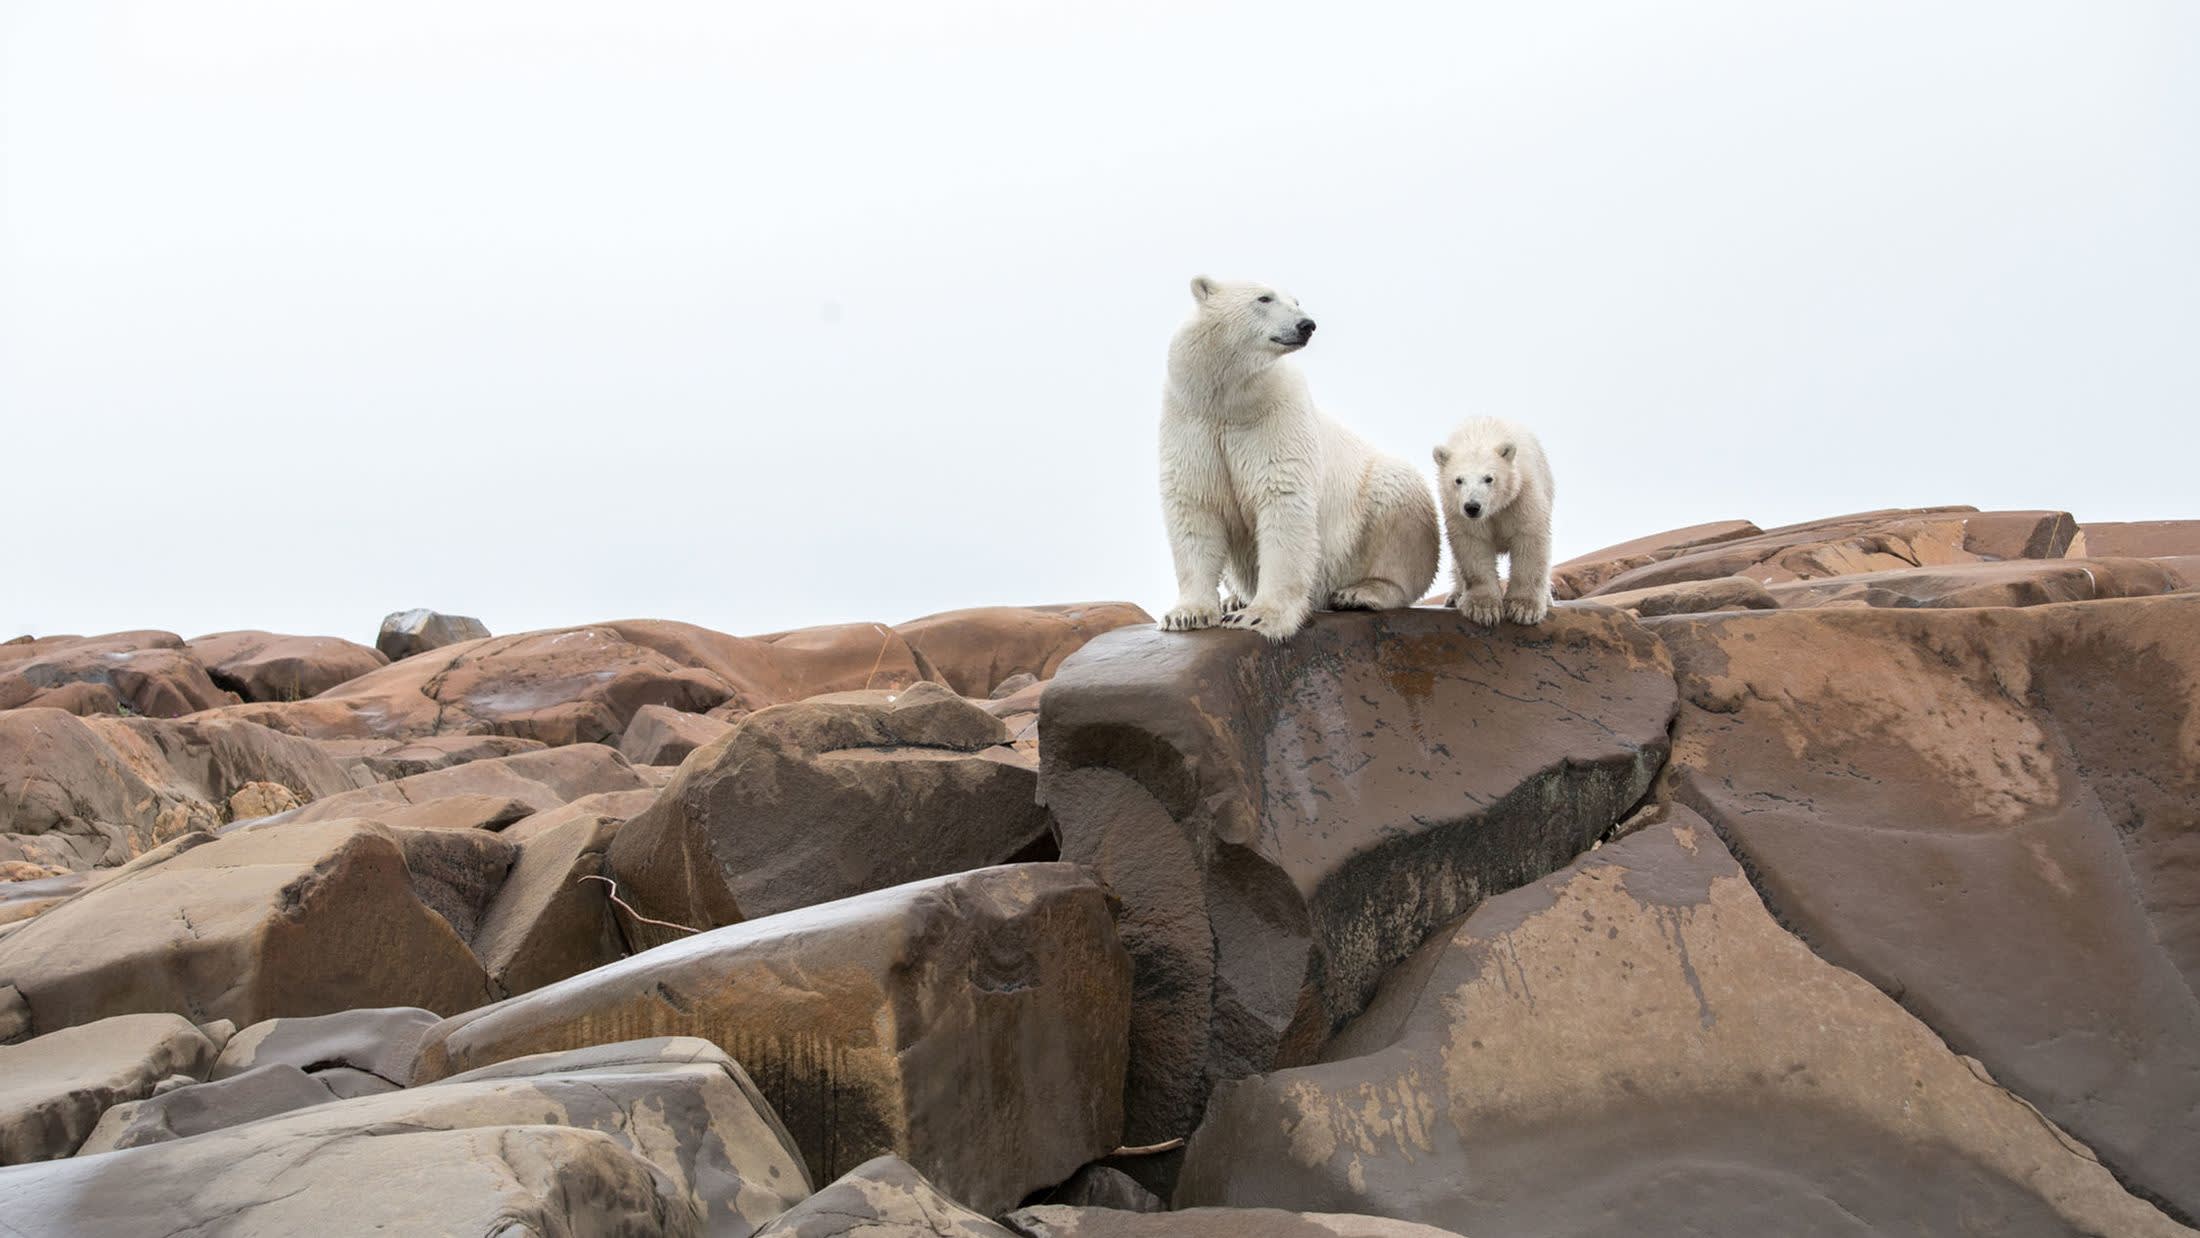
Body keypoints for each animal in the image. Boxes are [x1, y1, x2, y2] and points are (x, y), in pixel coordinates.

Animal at [1152, 277, 1443, 646]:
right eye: (1264, 298)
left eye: (1296, 301)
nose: (1307, 325)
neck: (1229, 401)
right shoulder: (1192, 421)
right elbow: (1195, 505)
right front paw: (1186, 614)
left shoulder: (1276, 417)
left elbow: (1282, 503)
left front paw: (1258, 617)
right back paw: (1235, 597)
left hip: (1375, 514)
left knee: (1398, 515)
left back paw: (1361, 592)